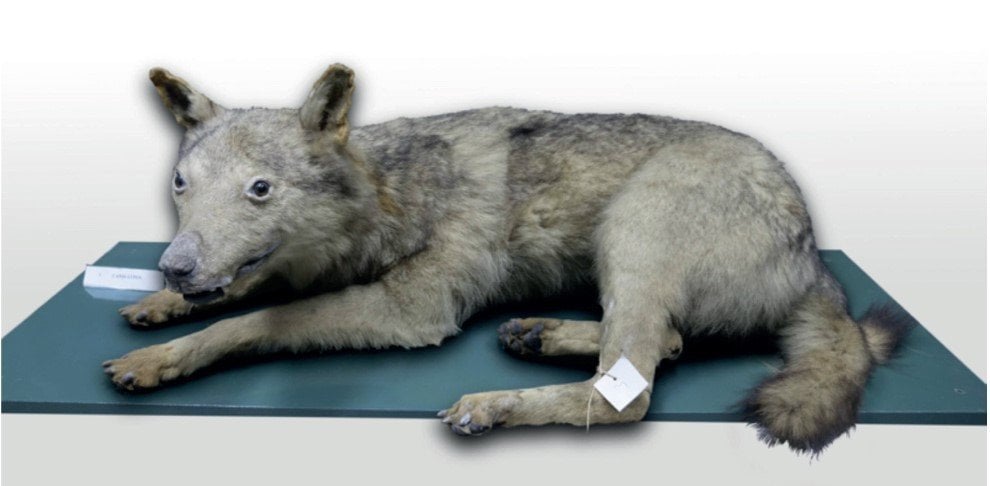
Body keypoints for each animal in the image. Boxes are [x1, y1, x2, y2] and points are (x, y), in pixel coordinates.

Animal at [102, 64, 909, 454]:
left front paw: (165, 353)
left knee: (626, 393)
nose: (174, 267)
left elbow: (251, 321)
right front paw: (157, 307)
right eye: (181, 184)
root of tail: (815, 262)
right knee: (669, 344)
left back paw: (493, 404)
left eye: (260, 190)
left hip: (637, 228)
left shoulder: (411, 312)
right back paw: (540, 333)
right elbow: (248, 288)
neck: (394, 191)